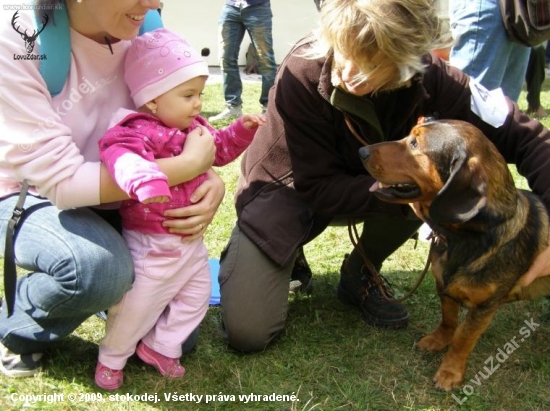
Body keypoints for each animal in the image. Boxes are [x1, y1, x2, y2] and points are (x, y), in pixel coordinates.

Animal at [358, 119, 550, 392]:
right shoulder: (445, 290)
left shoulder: (483, 308)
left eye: (414, 142)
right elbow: (448, 321)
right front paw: (438, 341)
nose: (361, 151)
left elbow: (463, 339)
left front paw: (450, 372)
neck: (465, 238)